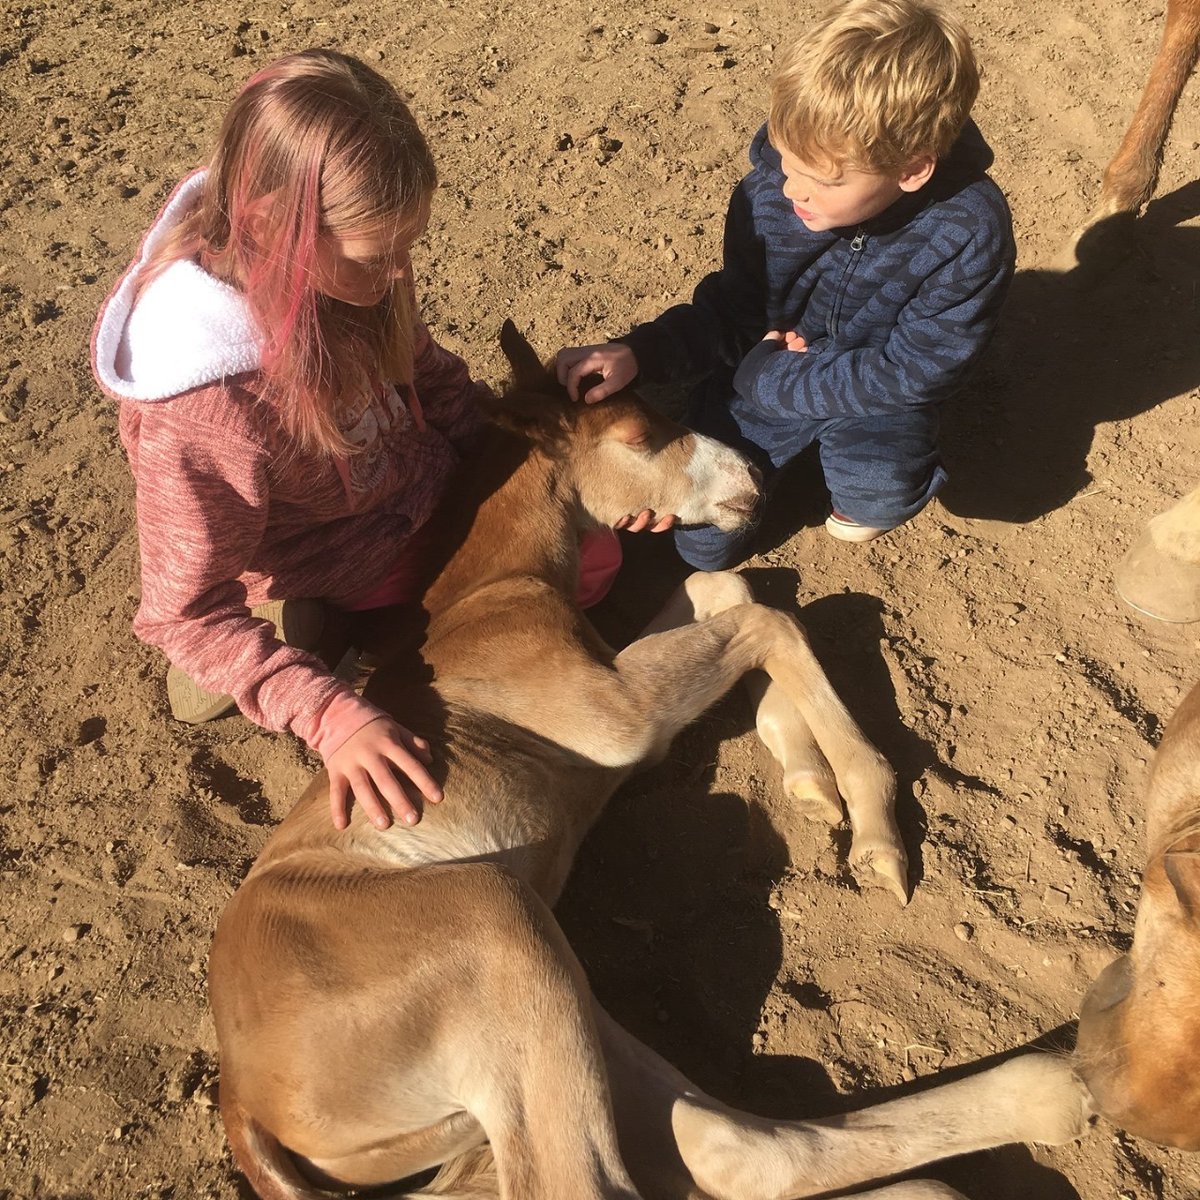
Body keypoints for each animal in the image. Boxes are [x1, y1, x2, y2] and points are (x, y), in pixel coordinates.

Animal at [211, 324, 1094, 1195]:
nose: (753, 478)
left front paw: (809, 779)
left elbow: (730, 590)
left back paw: (1043, 1097)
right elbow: (768, 617)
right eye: (639, 436)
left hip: (550, 993)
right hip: (492, 922)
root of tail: (243, 1105)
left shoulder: (629, 710)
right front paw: (872, 824)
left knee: (739, 1149)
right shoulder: (616, 719)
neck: (490, 594)